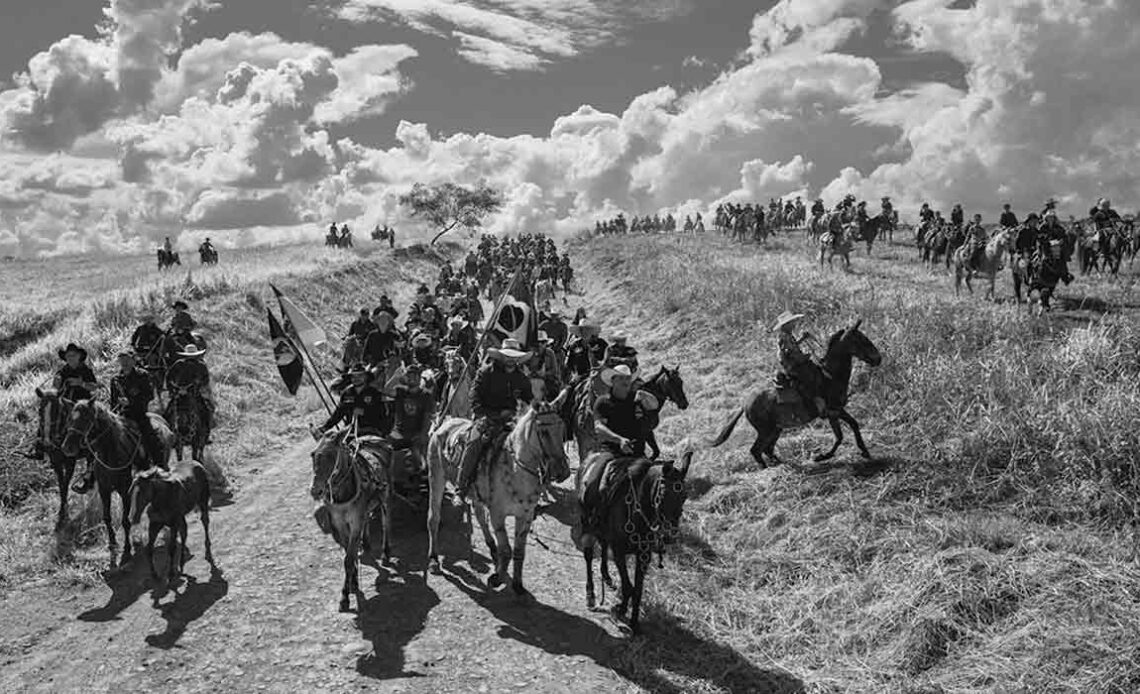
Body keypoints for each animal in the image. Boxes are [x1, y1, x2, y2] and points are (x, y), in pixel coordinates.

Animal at [60, 398, 173, 565]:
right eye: (69, 419)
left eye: (86, 419)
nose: (67, 447)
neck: (111, 453)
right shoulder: (104, 490)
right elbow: (107, 518)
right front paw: (113, 544)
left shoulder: (125, 492)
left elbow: (125, 520)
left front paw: (126, 550)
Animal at [310, 433, 394, 610]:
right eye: (312, 454)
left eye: (331, 455)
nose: (315, 490)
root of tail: (374, 437)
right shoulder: (339, 524)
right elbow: (350, 554)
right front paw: (353, 582)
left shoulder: (355, 522)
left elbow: (348, 559)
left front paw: (345, 596)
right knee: (367, 521)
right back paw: (367, 544)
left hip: (386, 498)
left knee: (386, 524)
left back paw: (385, 553)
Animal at [426, 394, 570, 597]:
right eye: (544, 432)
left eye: (562, 428)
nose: (563, 471)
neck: (515, 468)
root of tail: (445, 423)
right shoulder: (498, 515)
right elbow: (507, 550)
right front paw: (497, 578)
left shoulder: (525, 516)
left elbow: (519, 551)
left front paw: (517, 584)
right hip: (436, 478)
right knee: (434, 518)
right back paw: (433, 560)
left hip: (475, 493)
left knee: (479, 516)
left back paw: (492, 549)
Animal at [579, 448, 693, 633]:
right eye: (663, 494)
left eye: (684, 496)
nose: (669, 535)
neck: (635, 513)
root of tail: (591, 457)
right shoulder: (619, 552)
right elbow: (628, 587)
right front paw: (620, 610)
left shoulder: (643, 555)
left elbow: (637, 590)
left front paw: (633, 621)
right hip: (586, 523)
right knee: (589, 556)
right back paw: (591, 595)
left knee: (603, 546)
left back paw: (607, 577)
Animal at [711, 321, 880, 467]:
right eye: (862, 340)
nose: (878, 358)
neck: (830, 376)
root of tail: (745, 404)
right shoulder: (835, 411)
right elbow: (846, 430)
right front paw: (824, 456)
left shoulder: (834, 413)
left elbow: (846, 431)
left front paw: (858, 452)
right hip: (765, 431)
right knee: (756, 451)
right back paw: (768, 468)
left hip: (775, 429)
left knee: (767, 449)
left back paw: (784, 464)